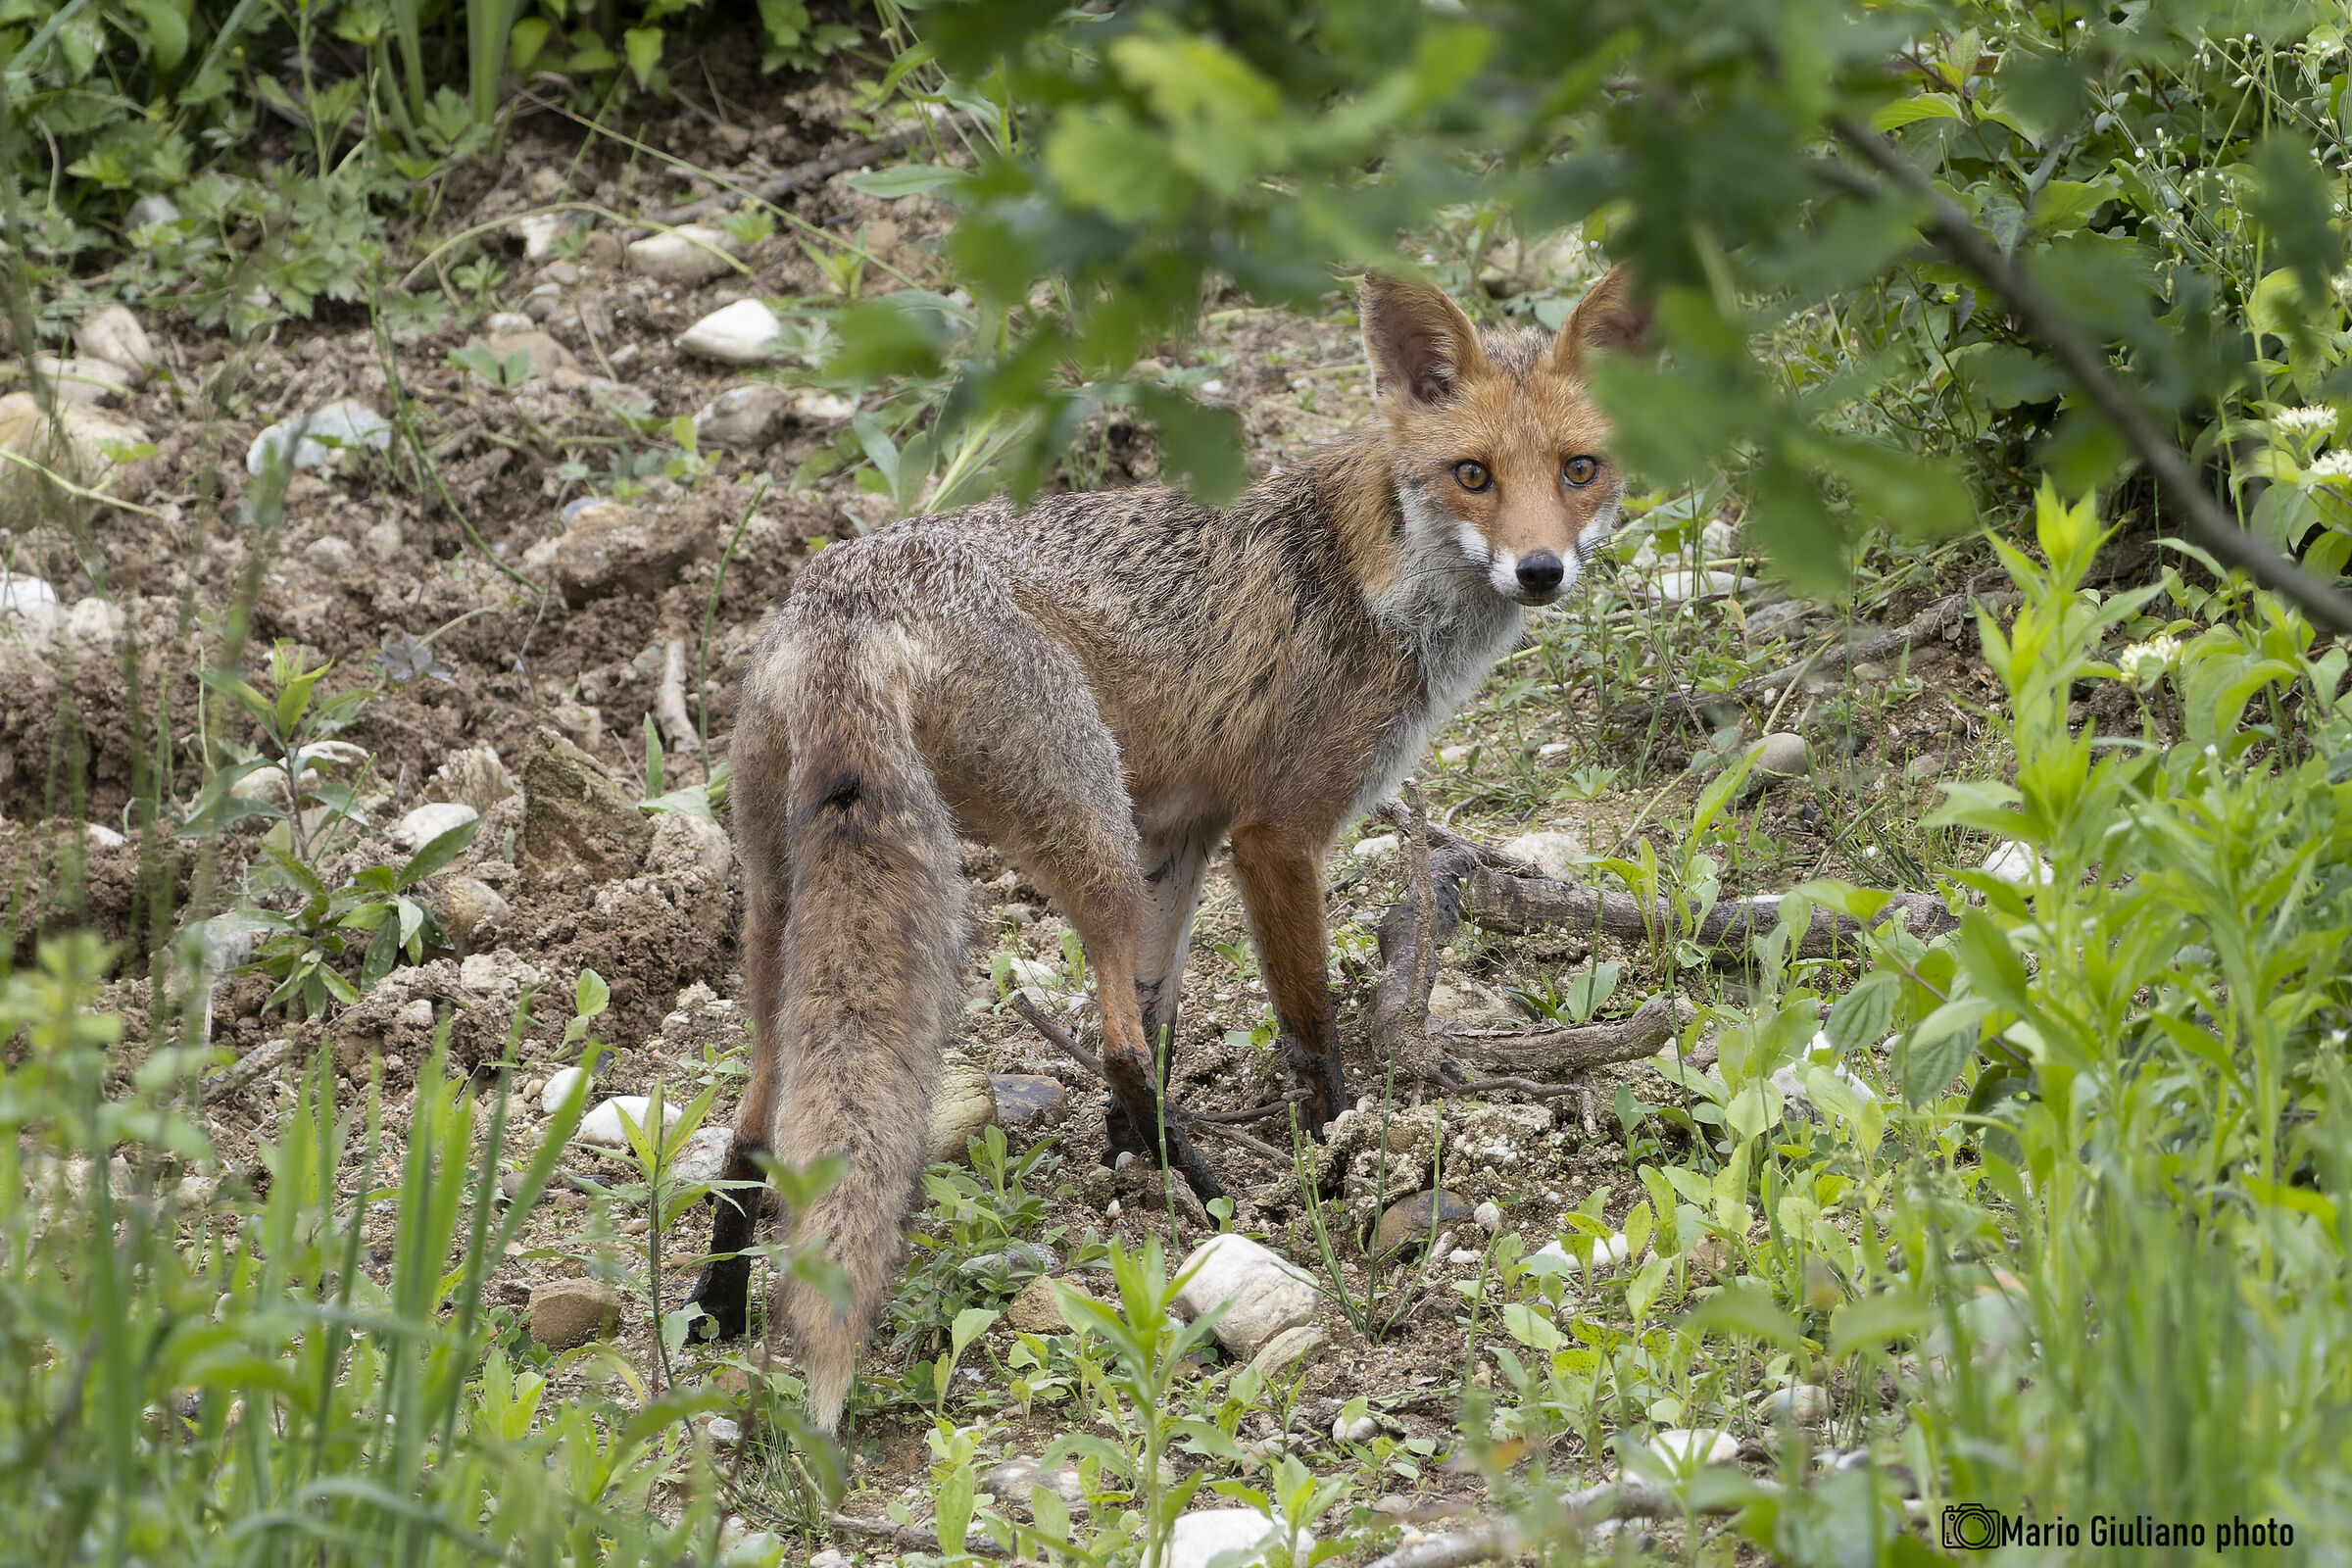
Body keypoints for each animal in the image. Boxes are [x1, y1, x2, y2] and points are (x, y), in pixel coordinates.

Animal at [683, 266, 1649, 1431]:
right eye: (1474, 476)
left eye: (1579, 469)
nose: (1541, 570)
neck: (1370, 573)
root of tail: (846, 598)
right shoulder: (1276, 834)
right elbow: (1306, 1030)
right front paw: (1336, 1162)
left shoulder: (1180, 836)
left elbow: (1166, 1007)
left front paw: (1125, 1163)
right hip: (1085, 829)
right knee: (1111, 1044)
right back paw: (1227, 1202)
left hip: (784, 901)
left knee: (757, 1115)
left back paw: (717, 1304)